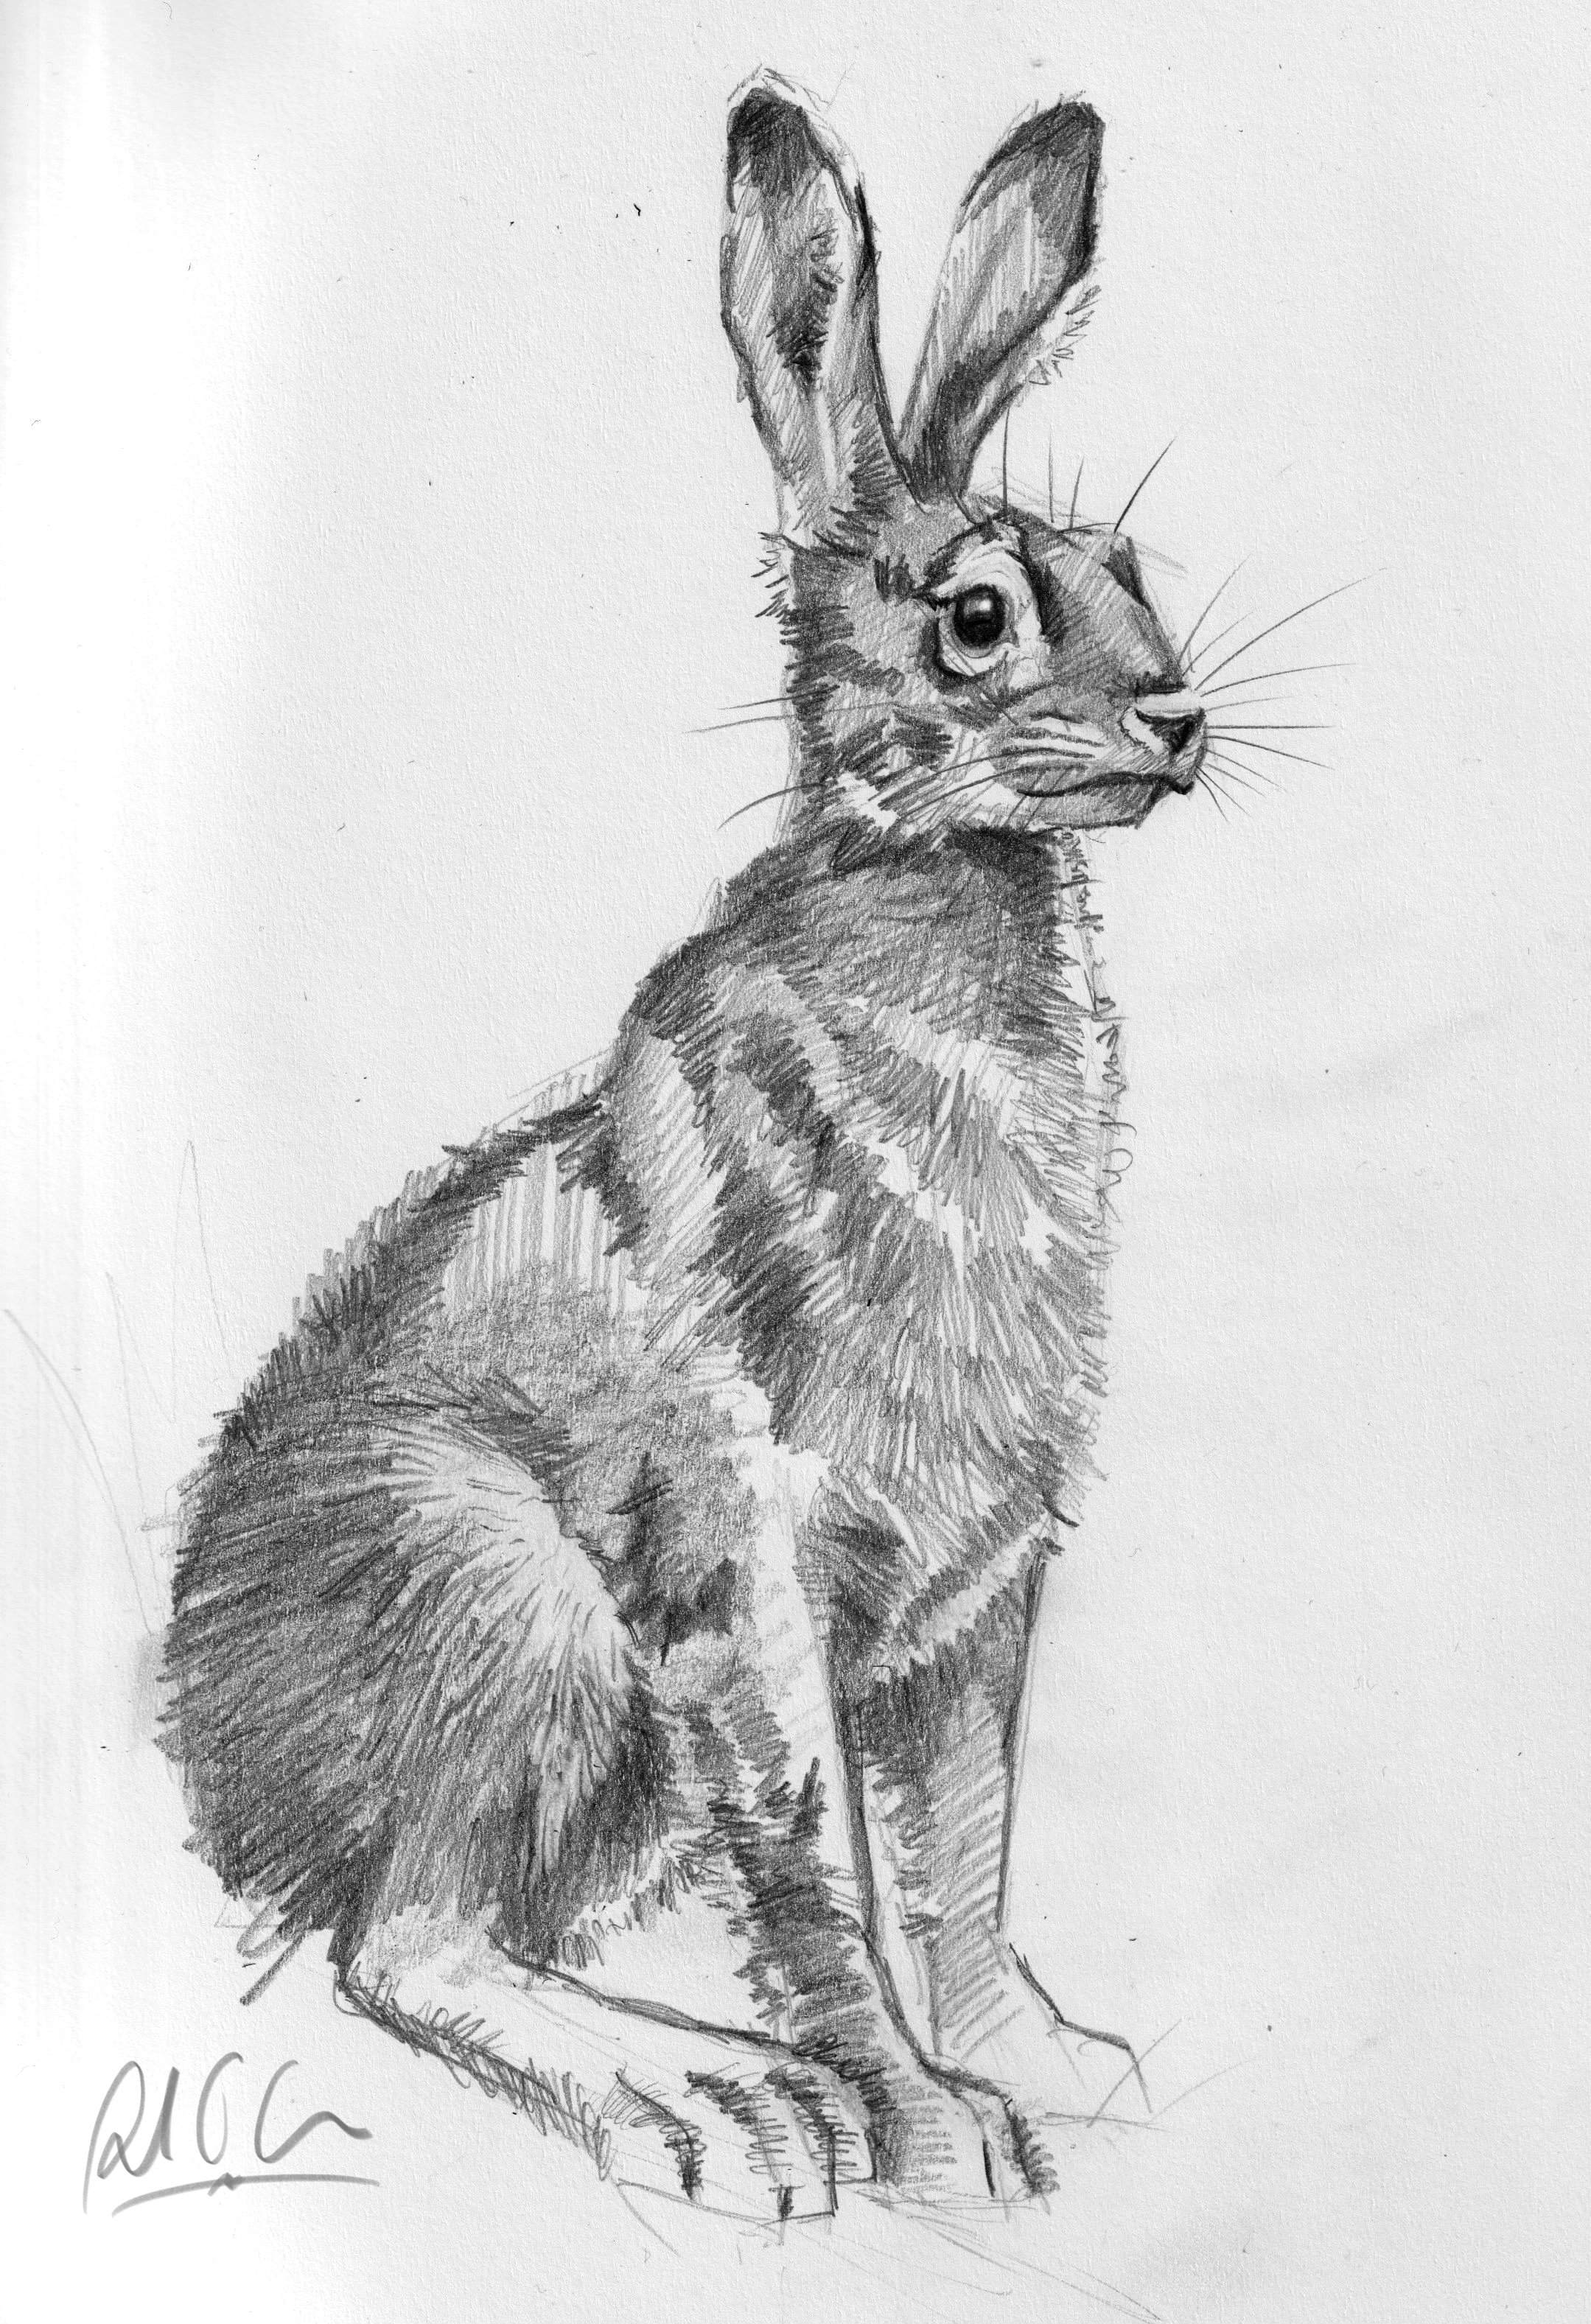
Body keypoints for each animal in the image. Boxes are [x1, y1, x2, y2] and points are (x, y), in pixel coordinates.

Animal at [163, 70, 1209, 2217]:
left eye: (1133, 561)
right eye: (974, 617)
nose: (1173, 715)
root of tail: (208, 1776)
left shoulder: (975, 1602)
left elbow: (964, 1852)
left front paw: (1048, 2074)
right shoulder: (749, 1566)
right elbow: (822, 1869)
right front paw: (924, 2134)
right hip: (516, 1610)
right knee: (403, 1941)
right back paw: (721, 2103)